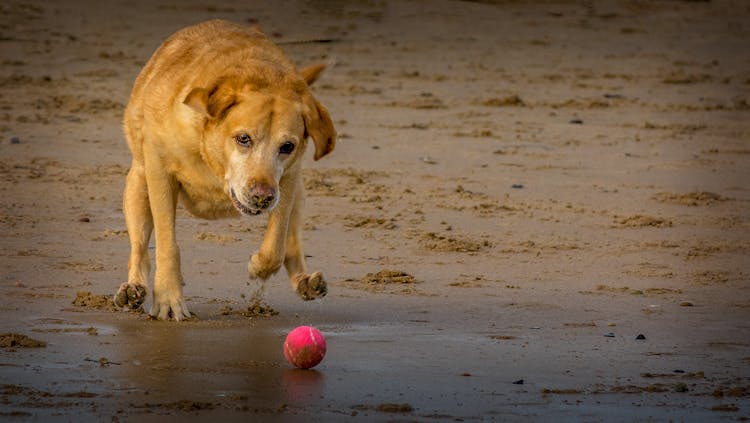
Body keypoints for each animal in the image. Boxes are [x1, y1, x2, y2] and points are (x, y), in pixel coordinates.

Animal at [115, 18, 338, 320]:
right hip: (138, 185)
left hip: (298, 194)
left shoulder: (288, 181)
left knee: (291, 242)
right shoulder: (159, 173)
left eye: (287, 146)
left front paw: (259, 267)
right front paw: (169, 299)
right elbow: (166, 245)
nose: (262, 196)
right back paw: (133, 288)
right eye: (243, 138)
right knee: (139, 248)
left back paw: (305, 281)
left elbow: (276, 243)